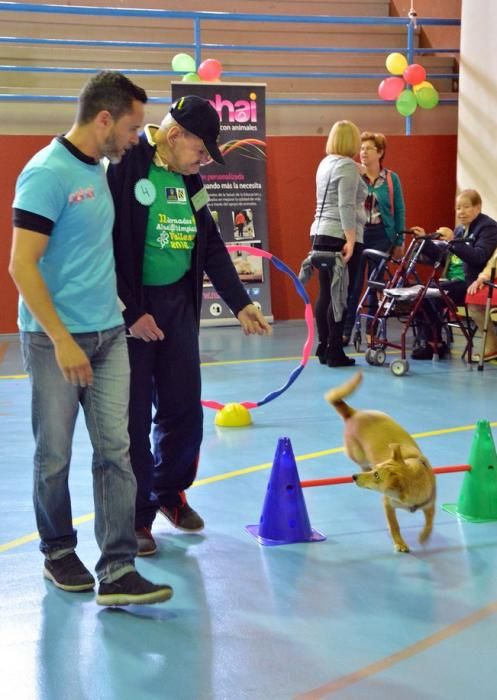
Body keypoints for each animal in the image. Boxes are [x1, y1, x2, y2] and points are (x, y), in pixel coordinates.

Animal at [324, 372, 432, 552]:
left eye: (377, 476)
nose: (354, 477)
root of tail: (354, 413)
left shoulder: (430, 505)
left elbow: (430, 523)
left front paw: (424, 537)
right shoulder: (388, 505)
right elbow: (394, 525)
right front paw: (400, 542)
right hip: (357, 453)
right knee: (358, 460)